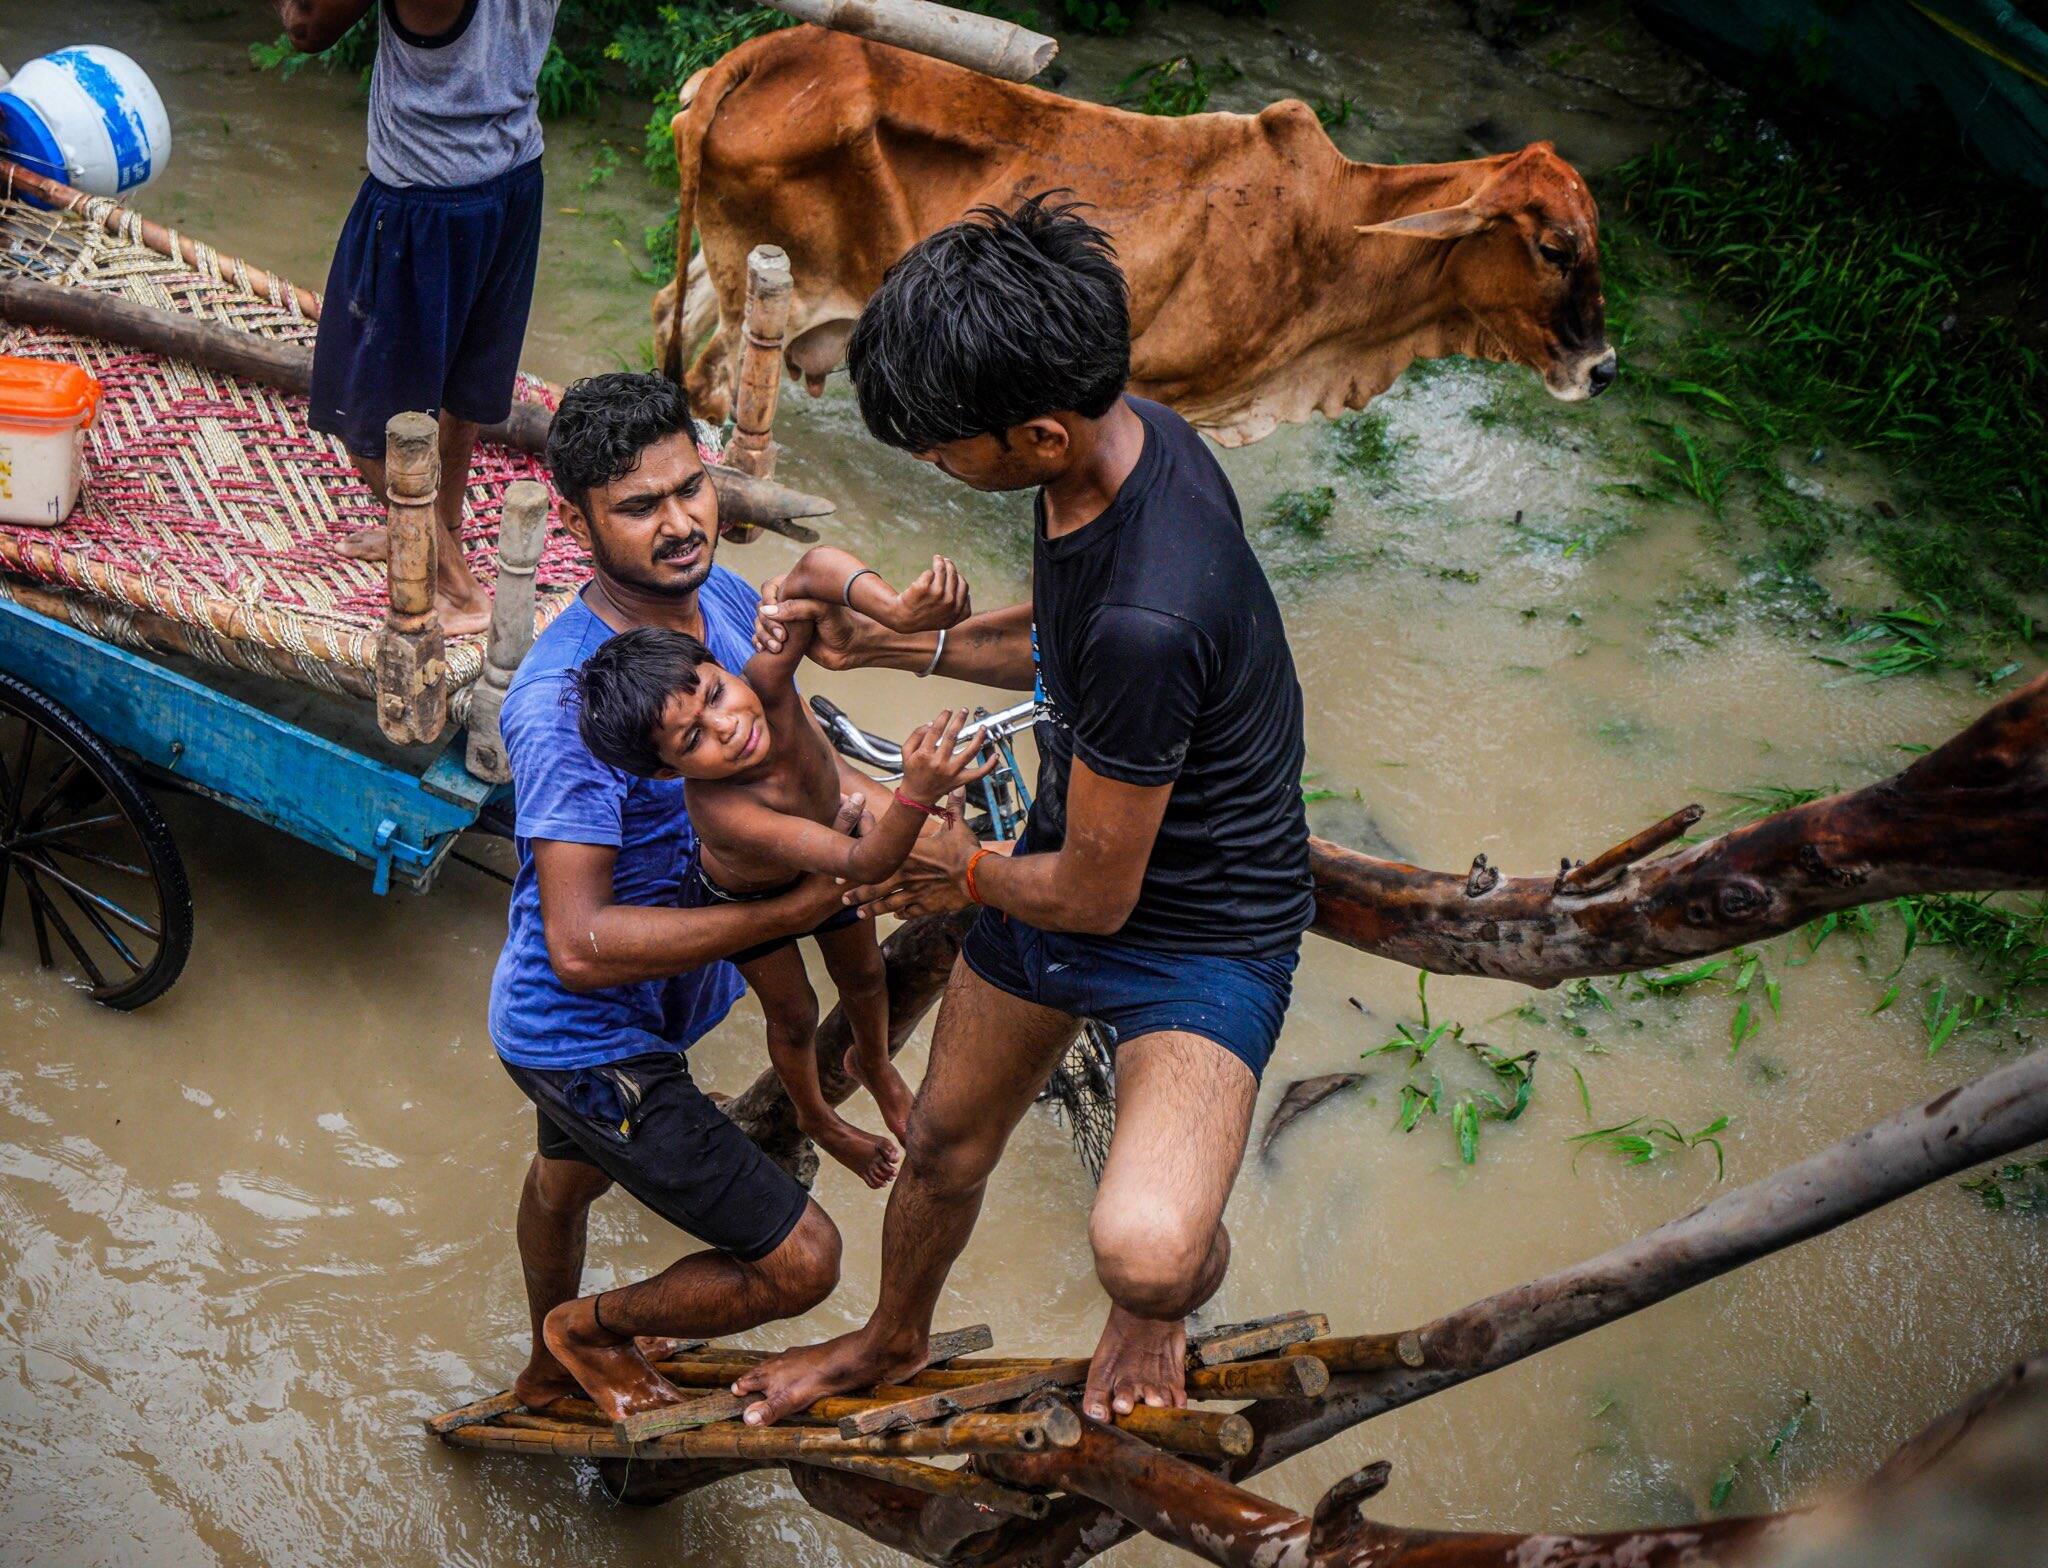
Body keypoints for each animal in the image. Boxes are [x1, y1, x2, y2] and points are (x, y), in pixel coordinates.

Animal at [655, 24, 1613, 448]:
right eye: (1554, 248)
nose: (1602, 369)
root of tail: (768, 50)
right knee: (712, 394)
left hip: (724, 262)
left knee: (671, 313)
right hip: (776, 292)